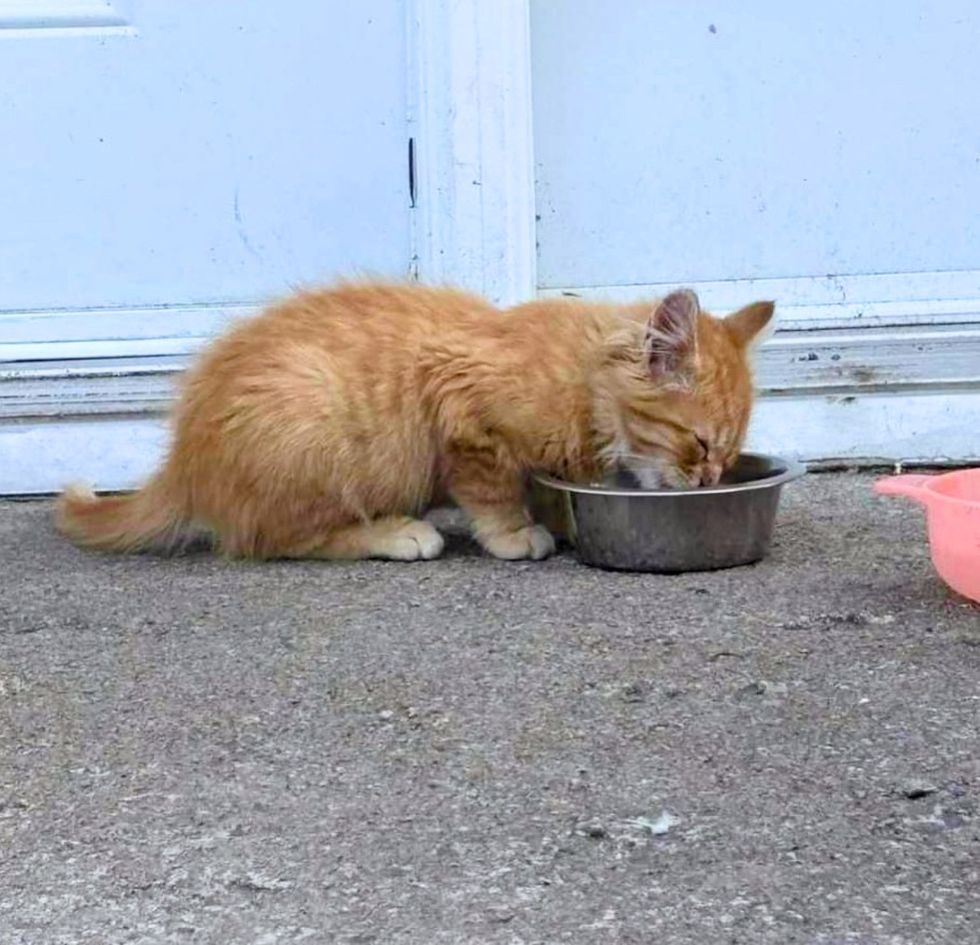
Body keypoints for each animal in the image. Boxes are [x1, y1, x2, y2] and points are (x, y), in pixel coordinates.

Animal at [53, 280, 772, 560]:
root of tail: (183, 461)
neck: (579, 382)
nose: (710, 481)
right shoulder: (462, 409)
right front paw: (516, 534)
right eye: (698, 443)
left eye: (727, 452)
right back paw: (397, 532)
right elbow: (492, 488)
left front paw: (559, 518)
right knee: (280, 538)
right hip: (313, 431)